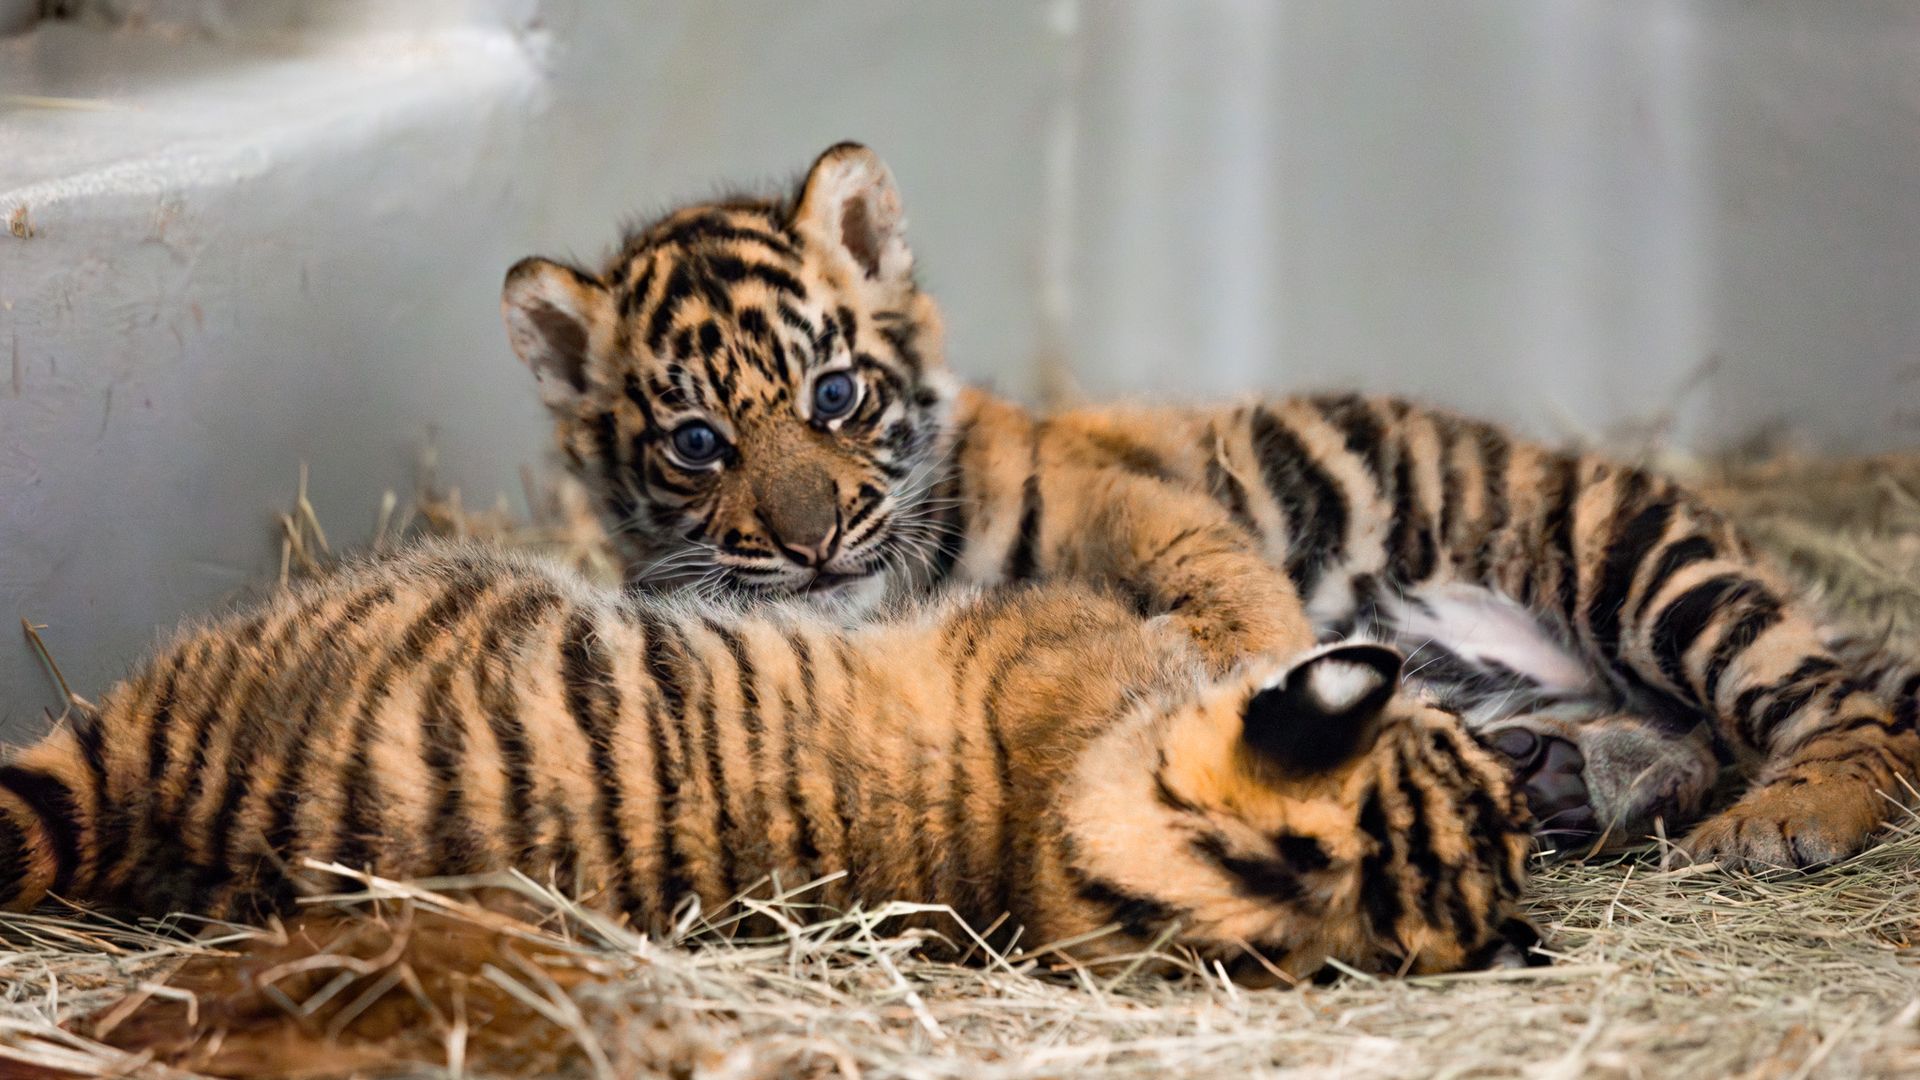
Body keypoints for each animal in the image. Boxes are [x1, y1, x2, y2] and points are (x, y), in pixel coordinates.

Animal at [500, 141, 1920, 871]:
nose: (811, 544)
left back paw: (1786, 819)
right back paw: (1582, 780)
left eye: (836, 394)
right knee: (1686, 731)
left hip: (1637, 563)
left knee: (1832, 705)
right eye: (698, 444)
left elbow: (1223, 580)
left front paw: (1251, 673)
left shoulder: (1128, 501)